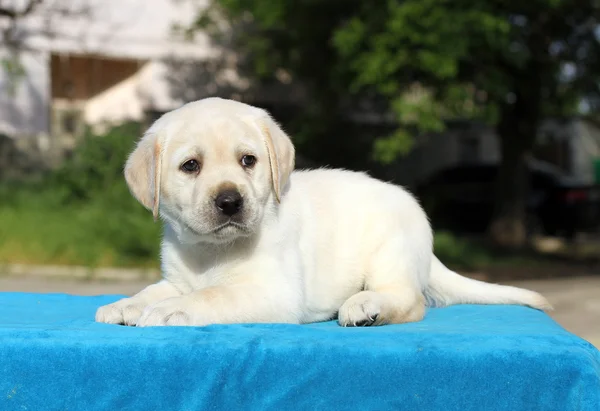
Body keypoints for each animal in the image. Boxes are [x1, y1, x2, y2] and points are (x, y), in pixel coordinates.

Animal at [96, 96, 552, 328]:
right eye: (191, 166)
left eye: (248, 161)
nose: (230, 202)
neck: (211, 250)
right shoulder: (177, 278)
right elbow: (157, 289)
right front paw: (127, 304)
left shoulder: (274, 292)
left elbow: (213, 295)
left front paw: (172, 311)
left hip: (391, 252)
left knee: (410, 301)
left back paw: (365, 307)